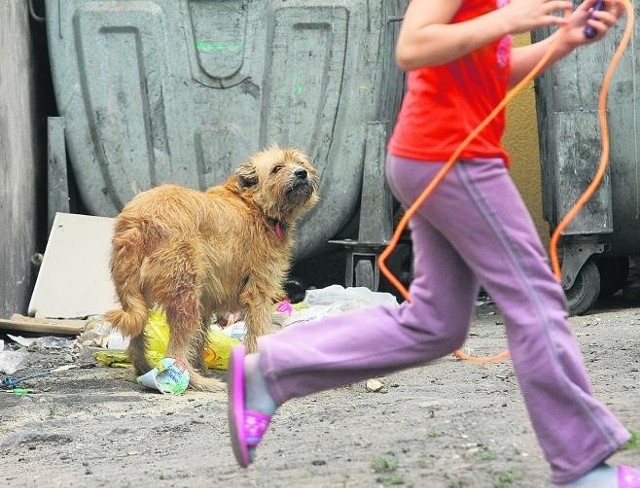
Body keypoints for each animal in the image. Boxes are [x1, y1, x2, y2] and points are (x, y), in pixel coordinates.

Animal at [104, 146, 320, 392]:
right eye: (277, 168)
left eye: (300, 163)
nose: (302, 173)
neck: (253, 203)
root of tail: (139, 220)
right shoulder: (258, 293)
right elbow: (258, 331)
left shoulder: (206, 302)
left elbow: (199, 340)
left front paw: (202, 365)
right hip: (184, 296)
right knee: (175, 351)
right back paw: (197, 382)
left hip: (138, 295)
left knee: (137, 337)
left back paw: (145, 369)